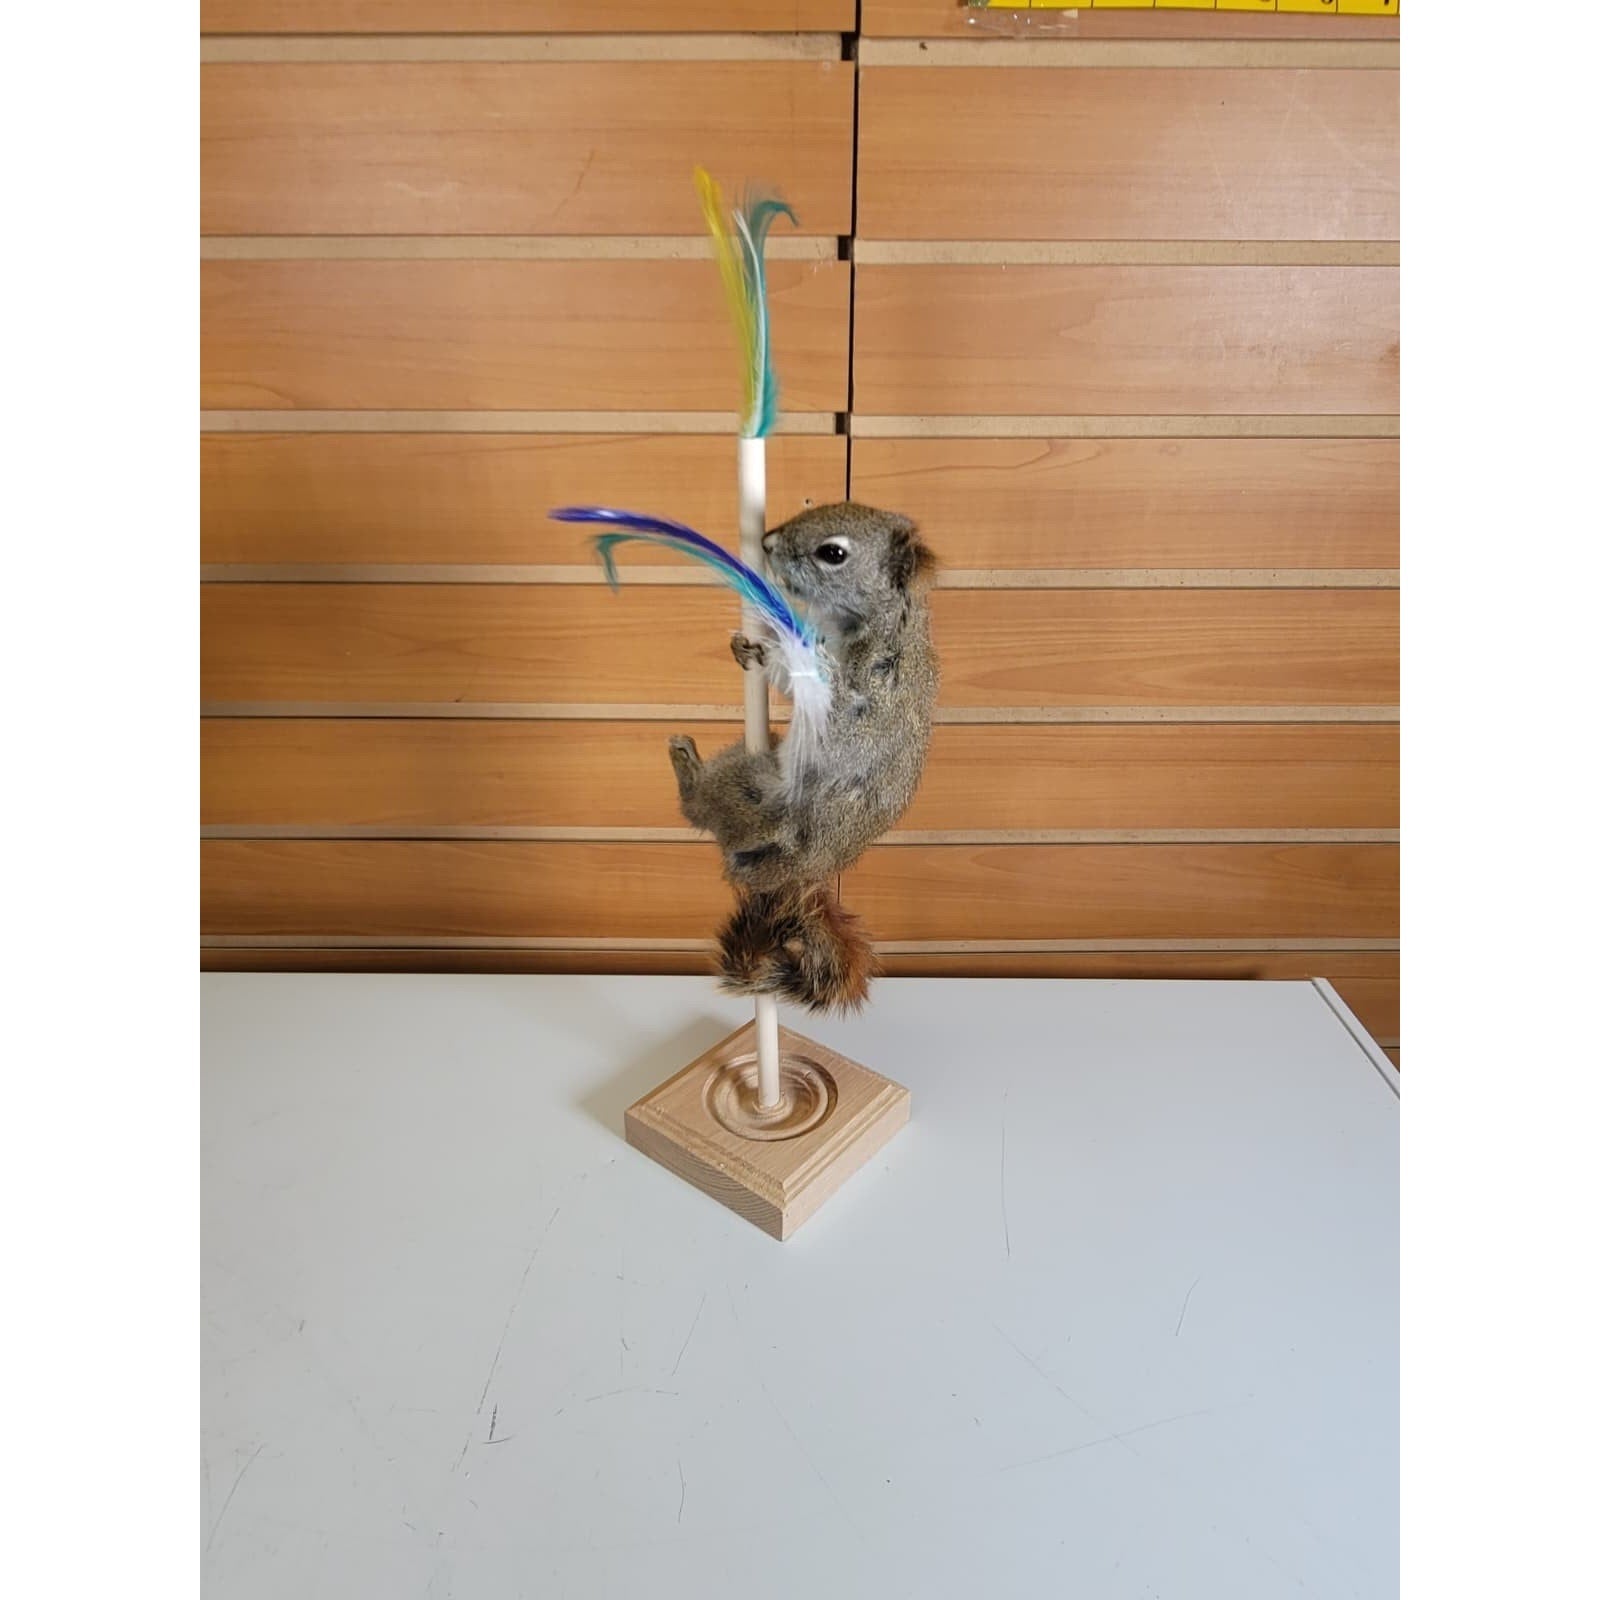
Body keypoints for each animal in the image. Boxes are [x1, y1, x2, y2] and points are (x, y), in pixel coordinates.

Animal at [667, 503, 939, 1013]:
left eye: (833, 553)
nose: (768, 542)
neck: (881, 620)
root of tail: (806, 871)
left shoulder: (860, 687)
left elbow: (812, 690)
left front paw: (765, 651)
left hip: (756, 800)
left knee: (699, 809)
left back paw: (687, 767)